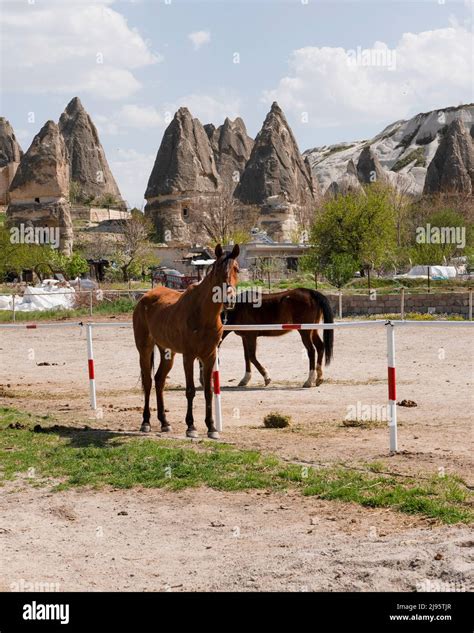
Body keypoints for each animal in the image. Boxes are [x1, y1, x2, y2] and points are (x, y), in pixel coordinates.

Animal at [133, 244, 239, 436]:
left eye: (237, 269)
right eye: (218, 270)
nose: (229, 299)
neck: (203, 315)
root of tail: (144, 297)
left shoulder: (209, 356)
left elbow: (208, 391)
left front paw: (211, 427)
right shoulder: (189, 356)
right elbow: (190, 390)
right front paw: (191, 426)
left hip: (167, 352)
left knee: (159, 380)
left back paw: (164, 422)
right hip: (144, 349)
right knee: (148, 381)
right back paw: (146, 422)